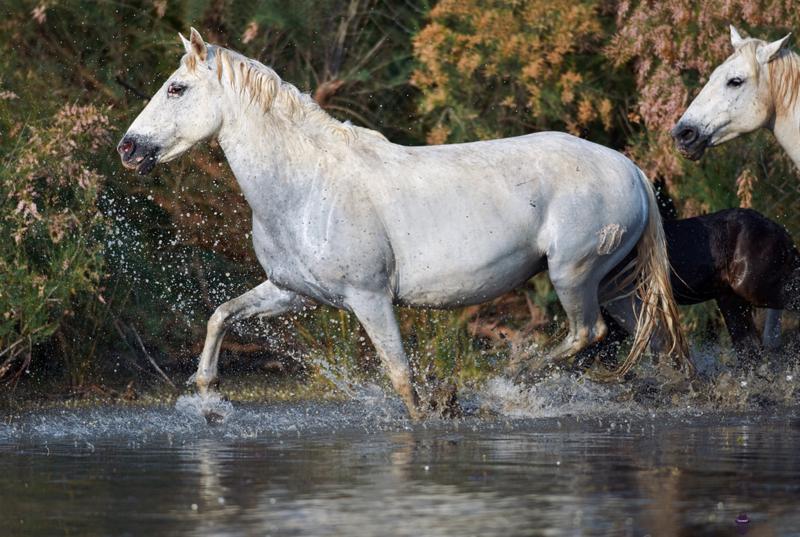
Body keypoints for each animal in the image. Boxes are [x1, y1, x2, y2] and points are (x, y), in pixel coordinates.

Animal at [117, 29, 686, 419]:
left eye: (176, 88)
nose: (128, 148)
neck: (308, 186)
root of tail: (631, 168)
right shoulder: (293, 291)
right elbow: (221, 315)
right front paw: (209, 395)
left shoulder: (369, 298)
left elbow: (401, 378)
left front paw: (432, 415)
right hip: (614, 283)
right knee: (654, 340)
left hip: (574, 274)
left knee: (587, 332)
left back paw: (508, 380)